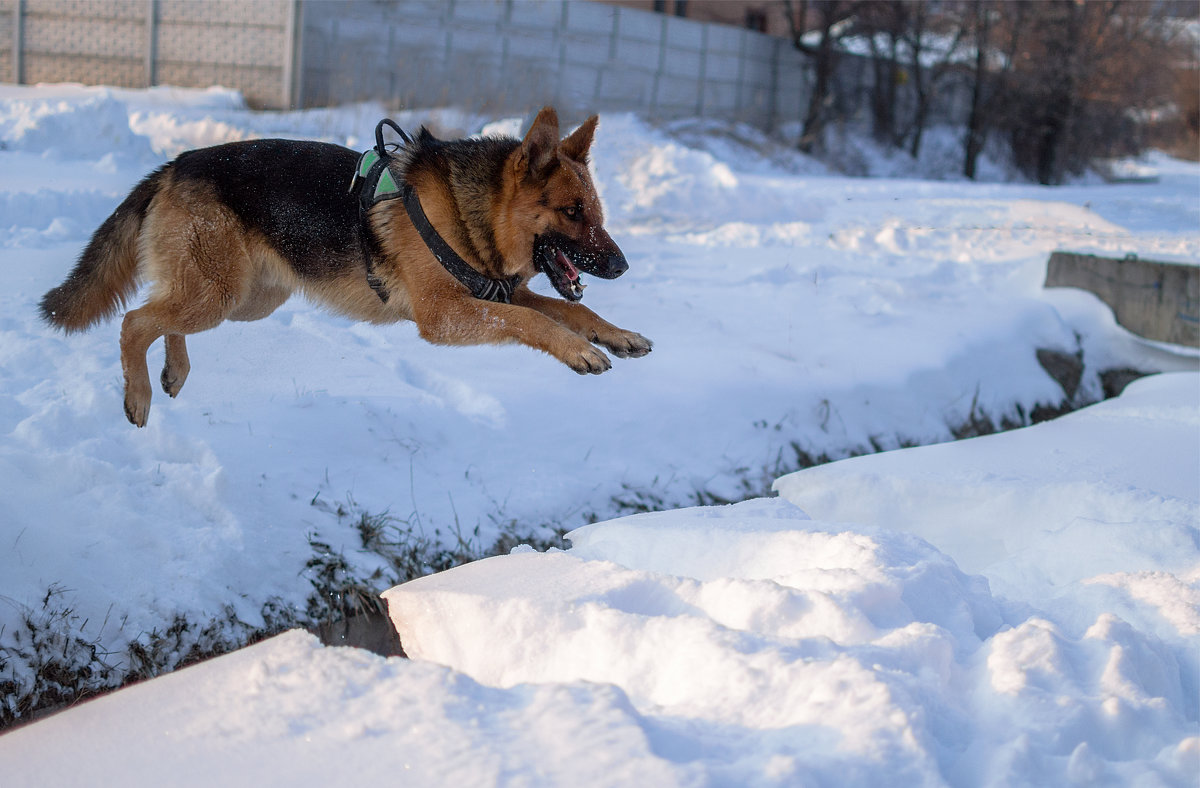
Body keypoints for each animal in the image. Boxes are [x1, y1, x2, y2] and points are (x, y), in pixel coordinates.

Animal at [39, 108, 648, 426]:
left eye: (596, 212)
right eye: (572, 213)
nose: (621, 266)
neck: (466, 207)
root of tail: (174, 163)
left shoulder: (495, 293)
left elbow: (568, 310)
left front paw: (616, 335)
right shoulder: (446, 316)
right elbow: (535, 320)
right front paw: (579, 352)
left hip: (244, 299)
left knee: (160, 314)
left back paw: (173, 371)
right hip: (221, 294)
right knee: (134, 321)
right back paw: (138, 395)